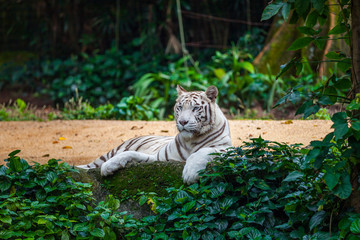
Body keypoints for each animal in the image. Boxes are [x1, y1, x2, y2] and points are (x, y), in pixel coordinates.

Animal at [77, 86, 232, 184]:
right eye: (180, 107)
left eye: (195, 108)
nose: (182, 121)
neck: (191, 140)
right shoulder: (160, 159)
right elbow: (130, 153)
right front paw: (108, 167)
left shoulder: (227, 150)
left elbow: (203, 151)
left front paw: (190, 172)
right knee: (90, 165)